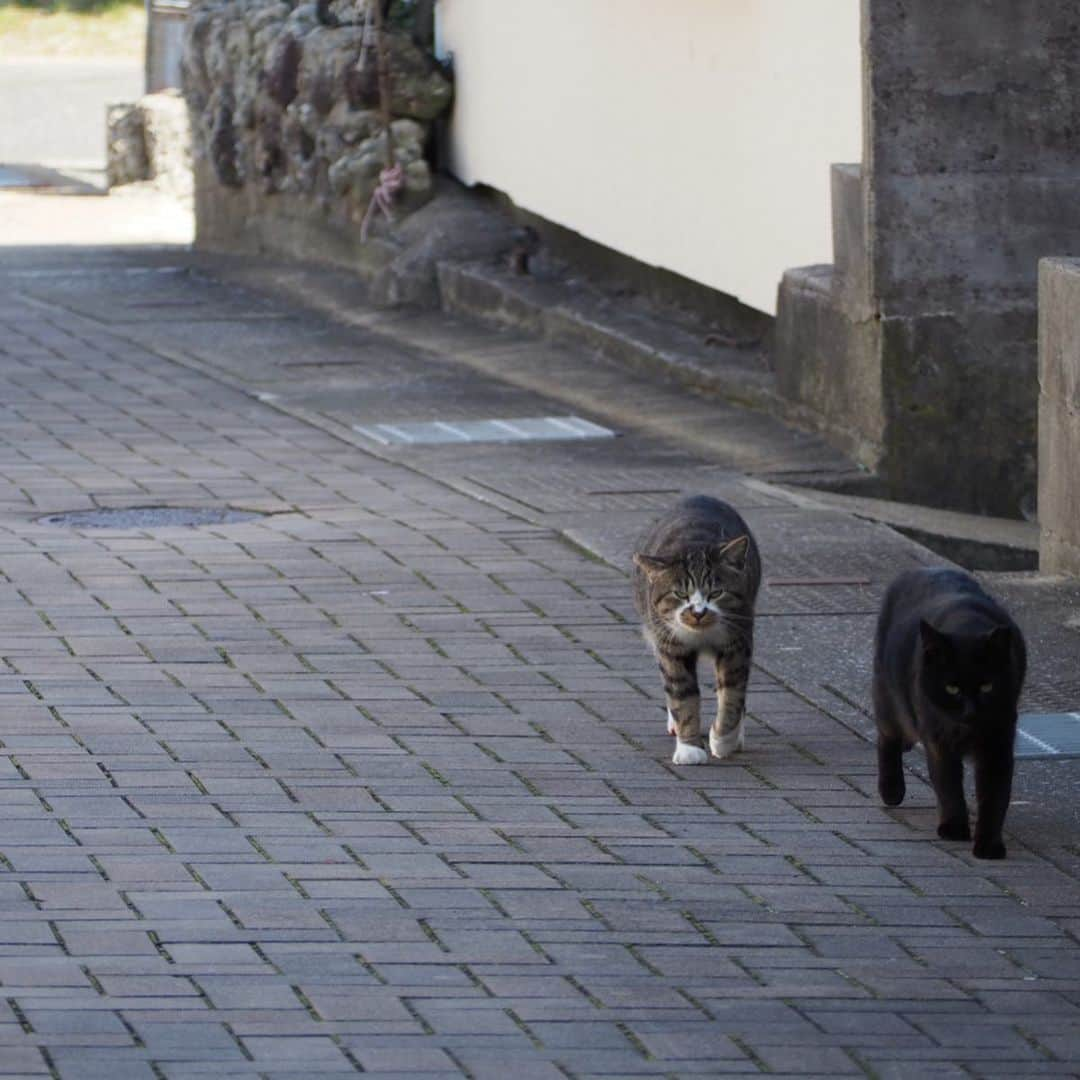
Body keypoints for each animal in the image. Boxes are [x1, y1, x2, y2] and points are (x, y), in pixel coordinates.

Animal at [630, 494, 760, 764]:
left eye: (716, 592)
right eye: (680, 594)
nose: (698, 612)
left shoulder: (737, 641)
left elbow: (732, 692)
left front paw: (723, 740)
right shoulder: (670, 644)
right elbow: (682, 694)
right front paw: (690, 748)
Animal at [872, 565, 1023, 859]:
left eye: (987, 686)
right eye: (952, 688)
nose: (971, 711)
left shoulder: (998, 743)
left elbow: (995, 795)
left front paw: (988, 845)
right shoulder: (938, 741)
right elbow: (948, 784)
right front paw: (954, 828)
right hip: (890, 700)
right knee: (887, 738)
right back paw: (891, 790)